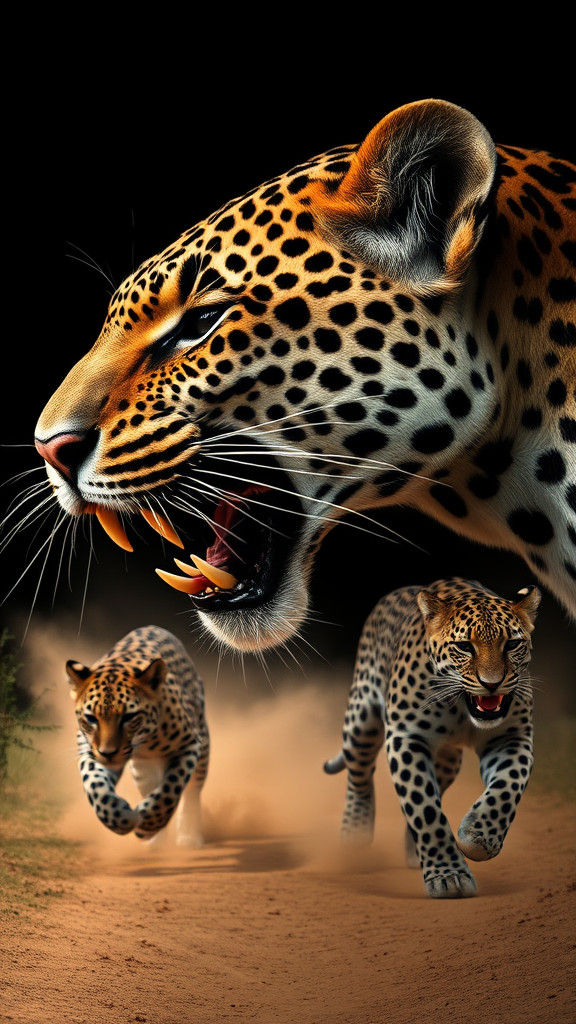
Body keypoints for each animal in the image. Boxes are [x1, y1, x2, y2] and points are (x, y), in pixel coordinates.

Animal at [66, 625, 209, 844]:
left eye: (129, 716)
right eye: (91, 718)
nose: (108, 753)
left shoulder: (189, 744)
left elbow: (171, 787)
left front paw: (148, 826)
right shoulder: (89, 751)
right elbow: (96, 786)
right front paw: (120, 818)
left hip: (203, 743)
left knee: (193, 790)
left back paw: (188, 835)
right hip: (142, 770)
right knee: (150, 787)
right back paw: (157, 841)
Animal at [324, 577, 540, 898]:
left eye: (512, 644)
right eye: (464, 647)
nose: (492, 684)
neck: (462, 709)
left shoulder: (512, 737)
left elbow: (507, 788)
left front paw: (478, 836)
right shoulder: (406, 737)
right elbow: (424, 809)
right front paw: (448, 876)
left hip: (448, 761)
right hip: (361, 720)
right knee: (359, 774)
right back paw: (355, 836)